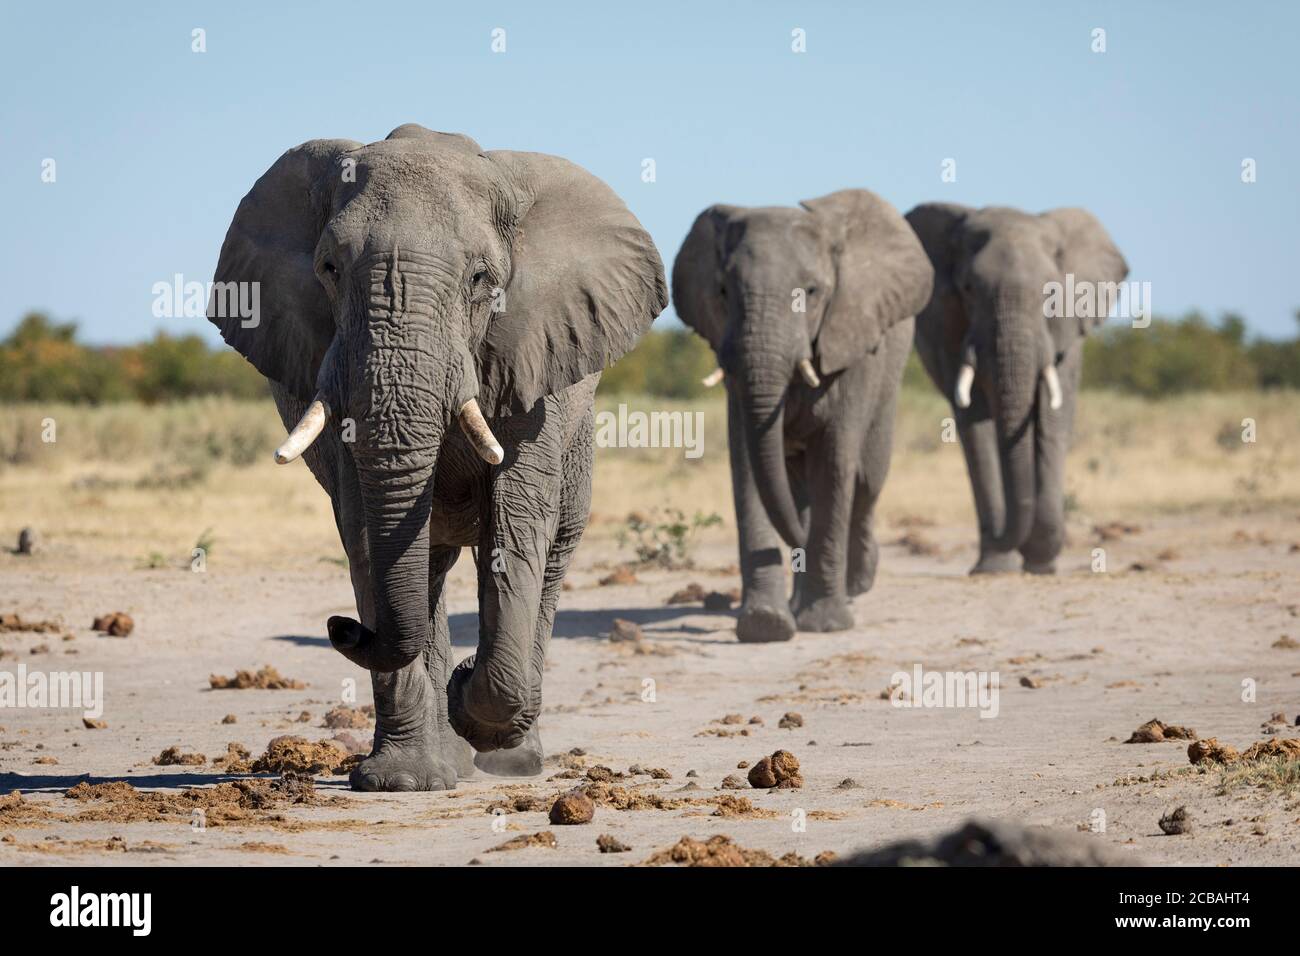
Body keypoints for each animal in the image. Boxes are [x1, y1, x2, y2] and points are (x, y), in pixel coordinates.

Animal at [209, 127, 670, 790]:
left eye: (481, 279)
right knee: (421, 566)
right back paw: (446, 760)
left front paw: (468, 699)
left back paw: (511, 759)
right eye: (329, 269)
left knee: (552, 555)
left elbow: (518, 518)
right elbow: (365, 529)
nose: (340, 627)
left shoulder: (532, 361)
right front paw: (400, 780)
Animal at [670, 189, 935, 642]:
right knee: (796, 488)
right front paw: (765, 624)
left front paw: (826, 624)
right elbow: (748, 467)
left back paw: (856, 583)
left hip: (889, 382)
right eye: (723, 291)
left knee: (867, 479)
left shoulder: (850, 346)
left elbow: (834, 460)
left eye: (811, 292)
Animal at [904, 202, 1128, 574]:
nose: (996, 535)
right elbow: (974, 421)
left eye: (1052, 294)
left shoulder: (1067, 330)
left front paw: (1041, 560)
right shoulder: (947, 328)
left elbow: (1054, 414)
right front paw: (995, 567)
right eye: (968, 289)